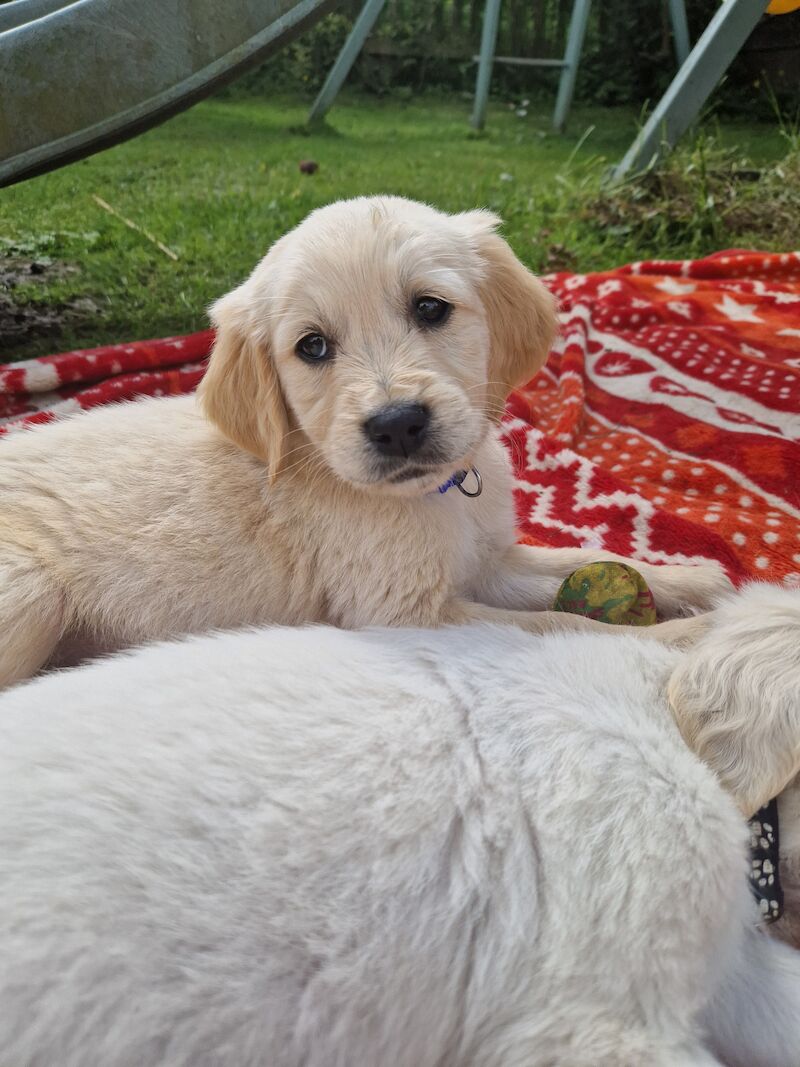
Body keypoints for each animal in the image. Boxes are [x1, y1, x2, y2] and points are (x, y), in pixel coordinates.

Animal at [0, 195, 733, 687]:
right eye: (312, 347)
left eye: (430, 308)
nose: (398, 422)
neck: (438, 497)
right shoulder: (402, 612)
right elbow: (563, 624)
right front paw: (688, 637)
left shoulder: (487, 560)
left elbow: (573, 556)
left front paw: (693, 579)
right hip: (32, 593)